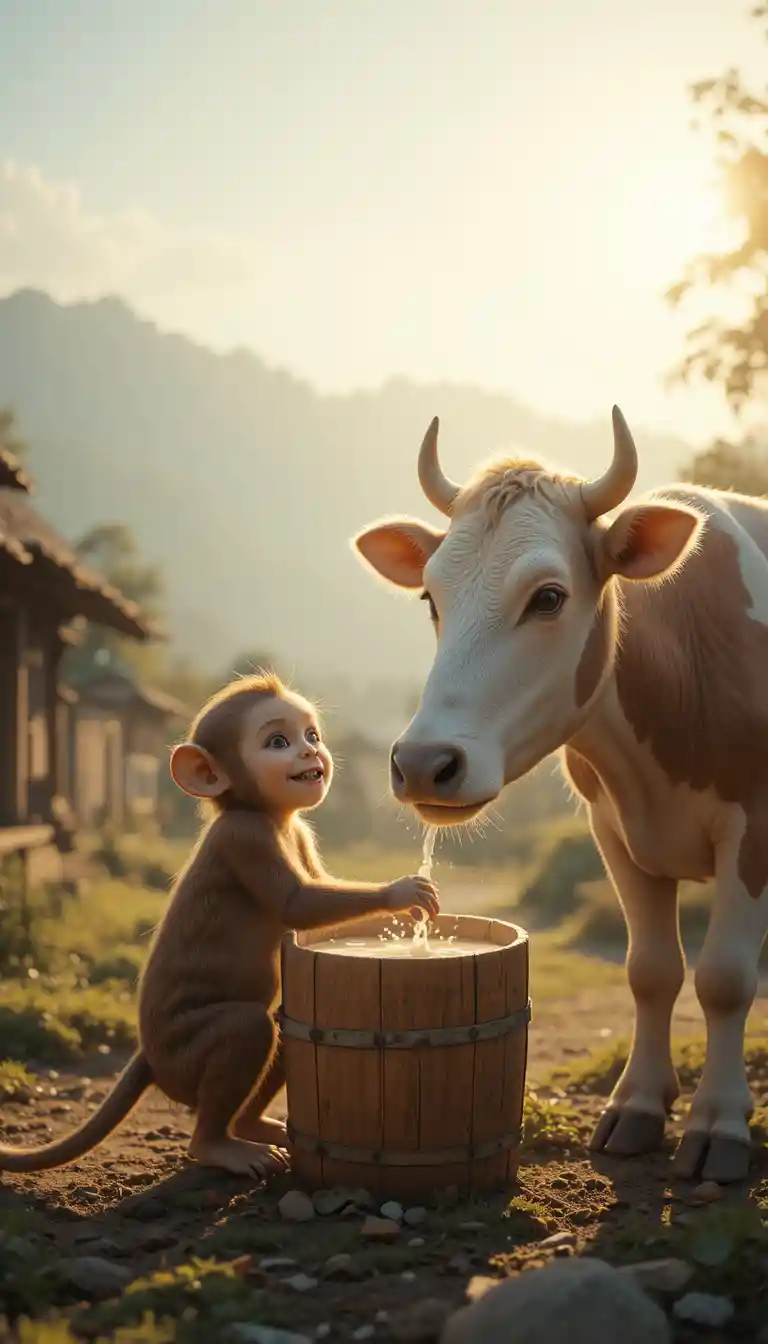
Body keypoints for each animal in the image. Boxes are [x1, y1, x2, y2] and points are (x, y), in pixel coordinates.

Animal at [0, 672, 439, 1179]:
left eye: (312, 735)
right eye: (278, 741)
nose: (309, 754)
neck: (268, 813)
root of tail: (149, 1058)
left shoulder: (301, 833)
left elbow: (317, 896)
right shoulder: (243, 838)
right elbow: (298, 904)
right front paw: (405, 894)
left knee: (281, 1025)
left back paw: (254, 1128)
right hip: (183, 1059)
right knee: (246, 1027)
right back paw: (219, 1147)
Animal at [352, 407, 768, 1184]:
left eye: (548, 597)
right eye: (430, 597)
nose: (424, 763)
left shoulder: (754, 830)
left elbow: (725, 978)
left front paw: (718, 1123)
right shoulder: (613, 829)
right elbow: (651, 971)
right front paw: (638, 1105)